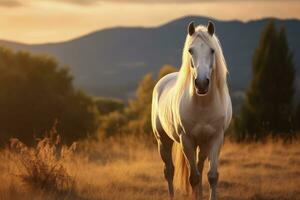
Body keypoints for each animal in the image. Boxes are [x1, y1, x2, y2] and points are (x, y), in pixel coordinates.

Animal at [152, 21, 232, 199]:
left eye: (212, 50)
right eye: (190, 50)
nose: (201, 83)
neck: (202, 105)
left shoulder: (216, 138)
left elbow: (211, 176)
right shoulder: (187, 140)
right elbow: (193, 178)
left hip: (202, 144)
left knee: (199, 167)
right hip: (163, 141)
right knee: (169, 171)